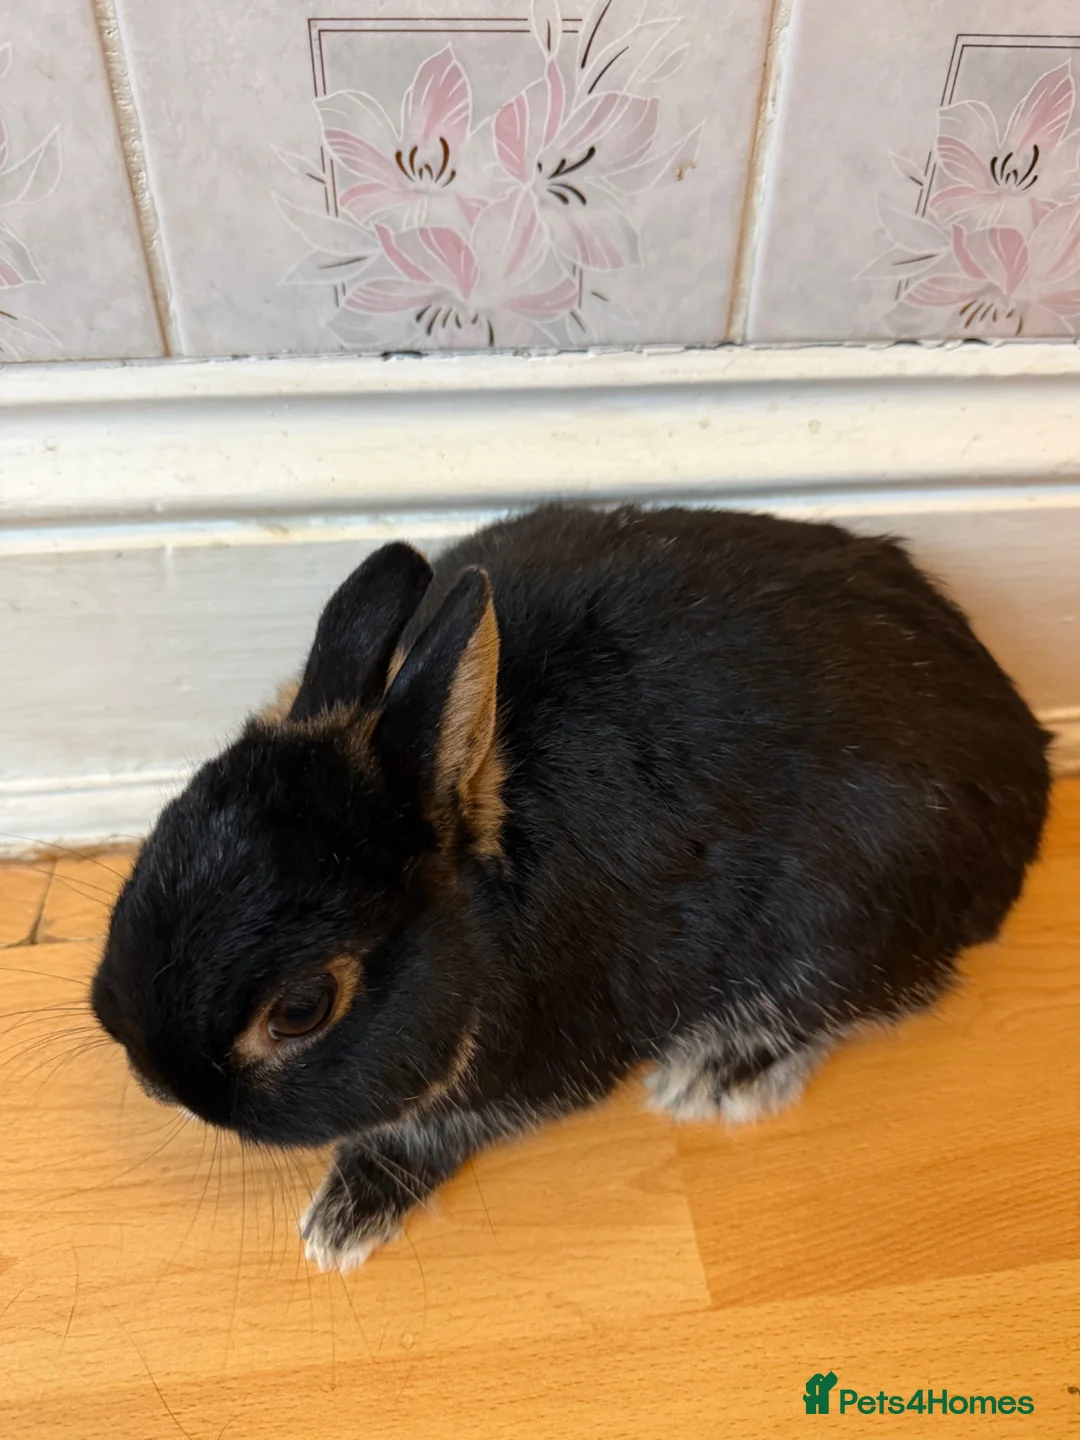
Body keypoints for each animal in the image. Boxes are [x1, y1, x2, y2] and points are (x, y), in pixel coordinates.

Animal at [90, 504, 1051, 1271]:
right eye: (168, 826)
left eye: (301, 1009)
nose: (154, 1079)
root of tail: (1025, 762)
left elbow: (434, 1129)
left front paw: (342, 1224)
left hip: (850, 927)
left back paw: (714, 1077)